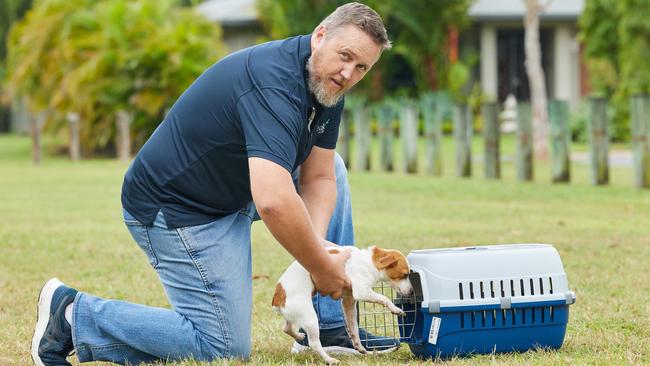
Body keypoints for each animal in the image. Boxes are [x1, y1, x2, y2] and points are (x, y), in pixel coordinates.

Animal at [270, 246, 412, 364]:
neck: (369, 261)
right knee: (314, 344)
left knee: (286, 328)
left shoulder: (349, 301)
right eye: (405, 275)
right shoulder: (362, 291)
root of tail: (277, 298)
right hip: (309, 317)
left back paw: (299, 335)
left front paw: (359, 346)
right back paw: (329, 360)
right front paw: (396, 309)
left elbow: (353, 328)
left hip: (294, 315)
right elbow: (384, 298)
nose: (411, 292)